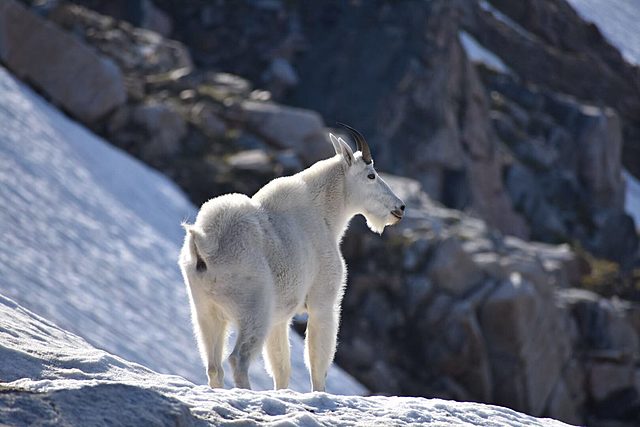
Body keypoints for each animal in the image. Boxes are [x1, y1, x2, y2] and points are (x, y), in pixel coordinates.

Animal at [178, 124, 405, 391]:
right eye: (371, 175)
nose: (399, 208)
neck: (325, 214)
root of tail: (205, 245)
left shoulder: (280, 319)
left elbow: (281, 367)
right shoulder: (322, 302)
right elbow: (317, 361)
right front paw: (319, 394)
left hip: (205, 310)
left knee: (214, 366)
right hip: (255, 309)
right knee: (238, 358)